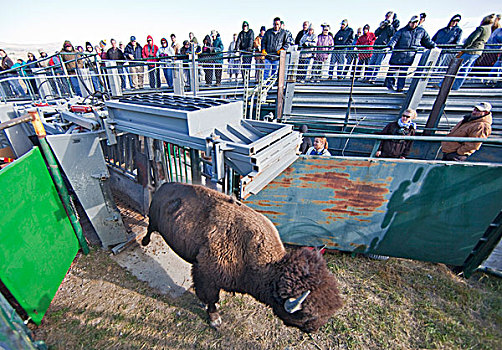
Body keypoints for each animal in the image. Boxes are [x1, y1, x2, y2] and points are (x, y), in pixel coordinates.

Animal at [143, 182, 344, 332]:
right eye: (307, 315)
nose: (314, 329)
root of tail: (163, 186)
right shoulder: (206, 276)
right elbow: (211, 299)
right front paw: (215, 320)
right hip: (153, 219)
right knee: (150, 228)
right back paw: (144, 243)